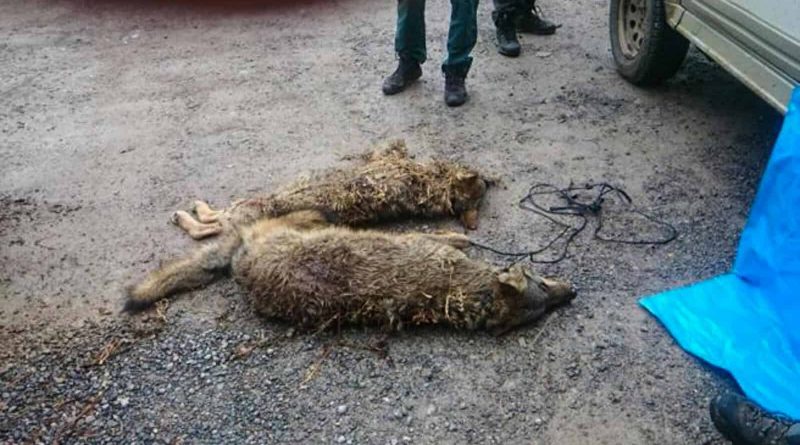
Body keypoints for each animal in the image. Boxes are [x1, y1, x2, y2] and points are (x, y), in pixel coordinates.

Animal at [126, 210, 576, 335]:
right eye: (541, 280)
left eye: (542, 308)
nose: (572, 293)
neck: (460, 292)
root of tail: (242, 262)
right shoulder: (429, 243)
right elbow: (447, 235)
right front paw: (461, 238)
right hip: (295, 221)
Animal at [171, 141, 490, 240]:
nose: (484, 180)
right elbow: (392, 148)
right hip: (244, 206)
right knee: (216, 217)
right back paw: (194, 208)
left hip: (246, 212)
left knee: (209, 227)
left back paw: (188, 216)